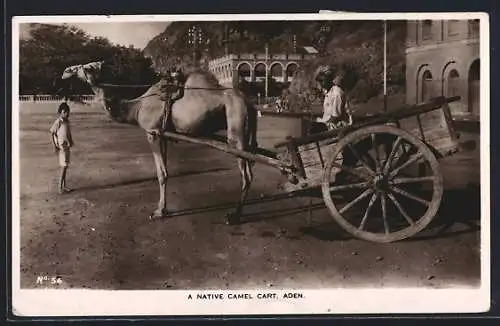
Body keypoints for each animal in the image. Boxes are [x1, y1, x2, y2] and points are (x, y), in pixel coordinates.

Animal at [59, 61, 258, 224]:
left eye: (86, 68)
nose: (65, 71)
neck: (136, 106)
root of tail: (250, 103)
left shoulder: (152, 133)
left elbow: (161, 174)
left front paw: (159, 211)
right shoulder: (163, 135)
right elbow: (166, 172)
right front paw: (163, 208)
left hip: (236, 129)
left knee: (246, 174)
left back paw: (235, 215)